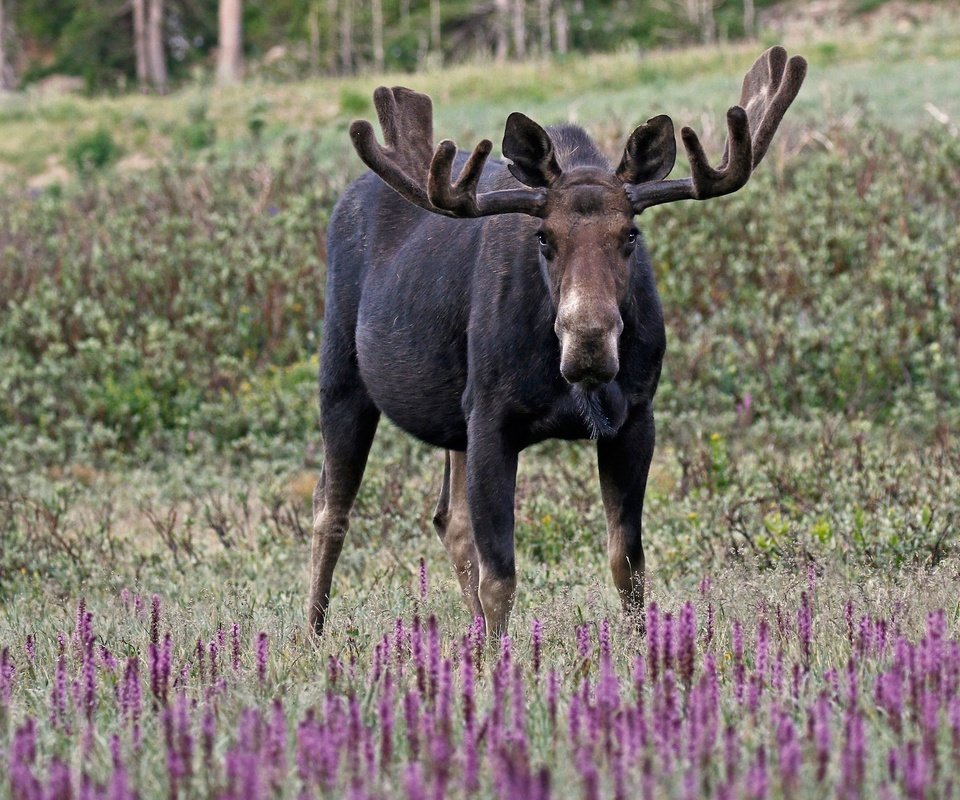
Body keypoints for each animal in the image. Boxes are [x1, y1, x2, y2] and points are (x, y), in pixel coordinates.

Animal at [312, 48, 808, 636]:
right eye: (544, 237)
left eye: (630, 235)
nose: (588, 342)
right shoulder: (491, 416)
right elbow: (500, 576)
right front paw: (499, 658)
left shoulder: (635, 416)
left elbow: (628, 563)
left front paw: (642, 647)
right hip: (342, 377)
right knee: (331, 512)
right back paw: (312, 635)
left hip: (452, 418)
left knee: (448, 520)